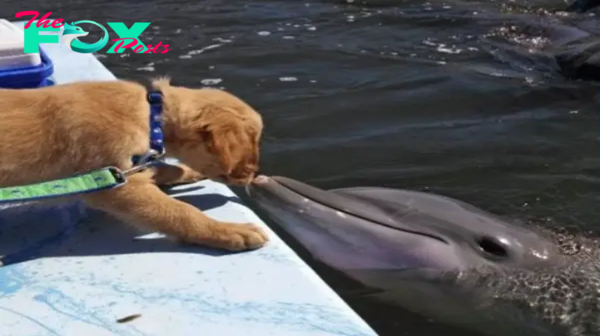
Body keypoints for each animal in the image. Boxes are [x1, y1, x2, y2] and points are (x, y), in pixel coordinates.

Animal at [0, 79, 268, 251]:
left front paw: (188, 172)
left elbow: (163, 167)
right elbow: (179, 211)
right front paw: (228, 231)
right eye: (251, 145)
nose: (254, 176)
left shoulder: (126, 168)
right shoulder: (114, 184)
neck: (152, 115)